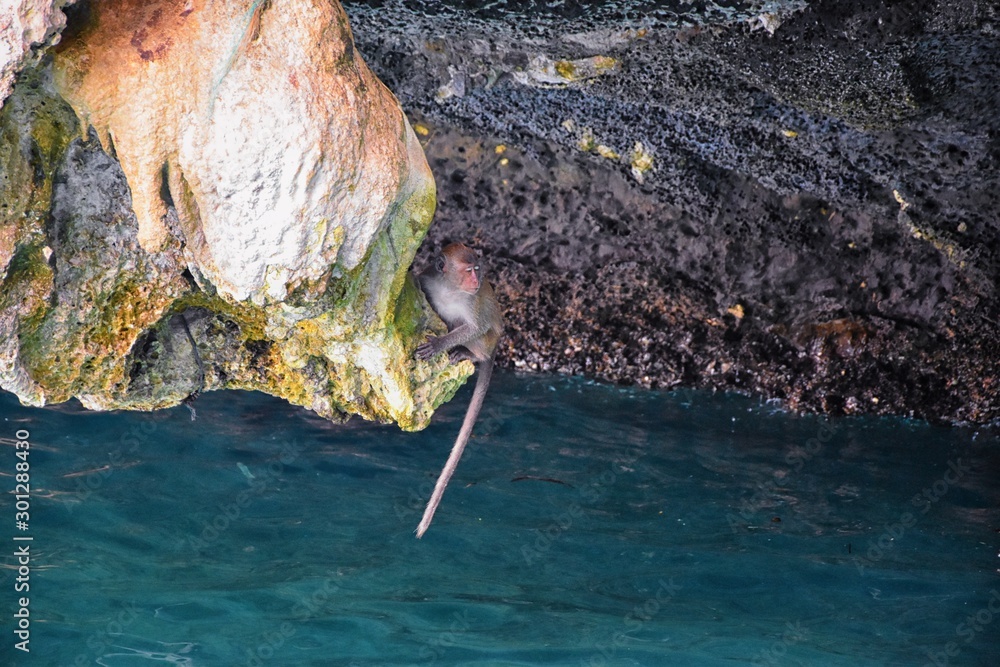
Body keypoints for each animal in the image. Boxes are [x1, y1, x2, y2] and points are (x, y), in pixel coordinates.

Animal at [414, 242, 504, 538]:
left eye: (477, 269)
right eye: (468, 270)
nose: (477, 280)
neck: (450, 290)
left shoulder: (471, 302)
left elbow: (475, 327)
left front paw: (440, 344)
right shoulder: (430, 280)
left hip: (488, 342)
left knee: (477, 332)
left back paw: (469, 354)